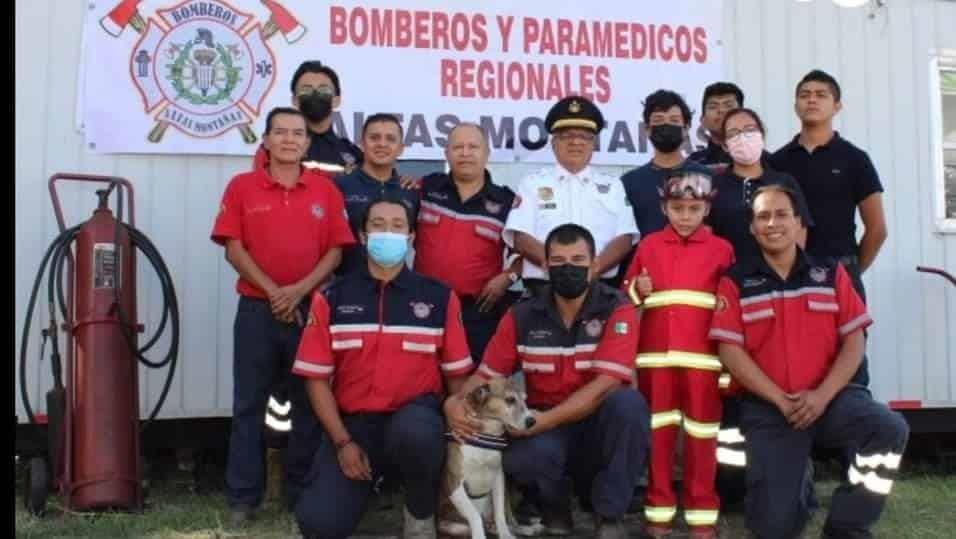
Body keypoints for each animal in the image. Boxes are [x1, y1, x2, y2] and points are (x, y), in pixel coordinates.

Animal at [440, 380, 536, 539]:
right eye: (510, 399)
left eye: (525, 399)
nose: (532, 421)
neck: (486, 435)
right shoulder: (455, 485)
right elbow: (474, 515)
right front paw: (479, 535)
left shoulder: (499, 478)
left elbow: (500, 514)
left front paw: (506, 534)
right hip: (453, 526)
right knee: (477, 525)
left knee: (508, 518)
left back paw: (523, 529)